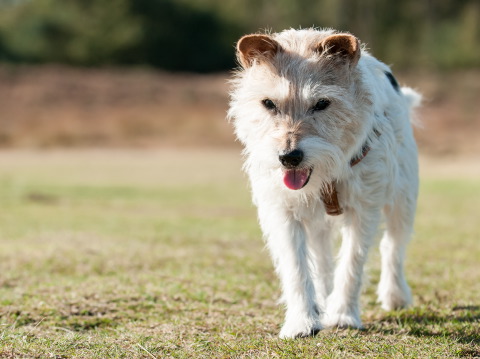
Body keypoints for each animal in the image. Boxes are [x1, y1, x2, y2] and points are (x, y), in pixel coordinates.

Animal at [229, 28, 420, 340]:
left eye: (321, 103)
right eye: (268, 103)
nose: (289, 157)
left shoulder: (363, 210)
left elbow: (352, 262)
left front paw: (343, 315)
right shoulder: (282, 212)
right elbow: (296, 268)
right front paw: (302, 321)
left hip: (403, 200)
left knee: (393, 246)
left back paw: (395, 295)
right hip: (317, 223)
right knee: (321, 262)